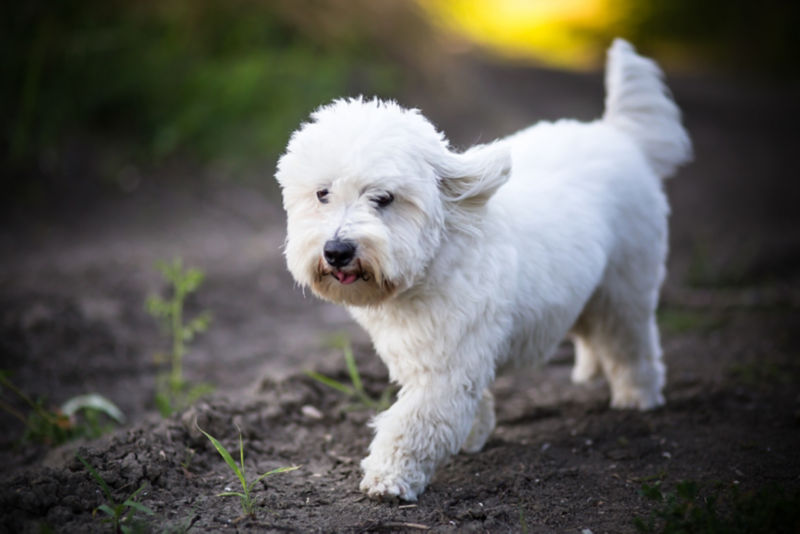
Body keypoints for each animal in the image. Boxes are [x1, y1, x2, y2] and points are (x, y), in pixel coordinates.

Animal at [276, 40, 688, 502]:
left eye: (384, 198)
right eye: (322, 194)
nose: (337, 251)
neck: (435, 259)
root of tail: (617, 134)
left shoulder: (446, 368)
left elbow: (413, 423)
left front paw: (389, 476)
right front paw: (473, 434)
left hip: (626, 288)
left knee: (630, 343)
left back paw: (638, 396)